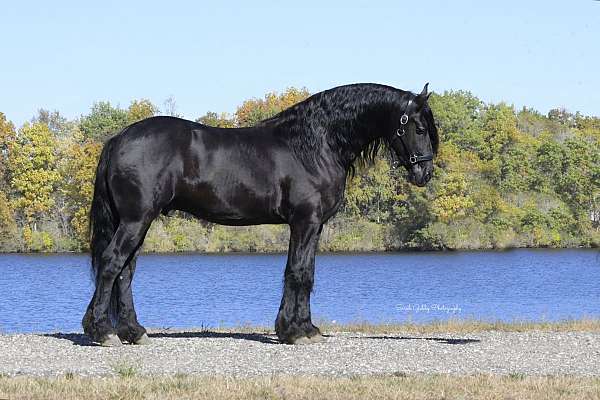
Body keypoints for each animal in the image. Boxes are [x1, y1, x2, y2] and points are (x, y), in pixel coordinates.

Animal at [82, 83, 438, 346]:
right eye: (419, 127)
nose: (425, 173)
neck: (315, 144)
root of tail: (118, 139)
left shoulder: (314, 226)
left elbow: (304, 272)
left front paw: (301, 328)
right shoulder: (305, 221)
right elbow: (298, 273)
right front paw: (296, 332)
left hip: (137, 222)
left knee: (125, 272)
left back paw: (133, 332)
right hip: (136, 220)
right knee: (112, 264)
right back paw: (103, 332)